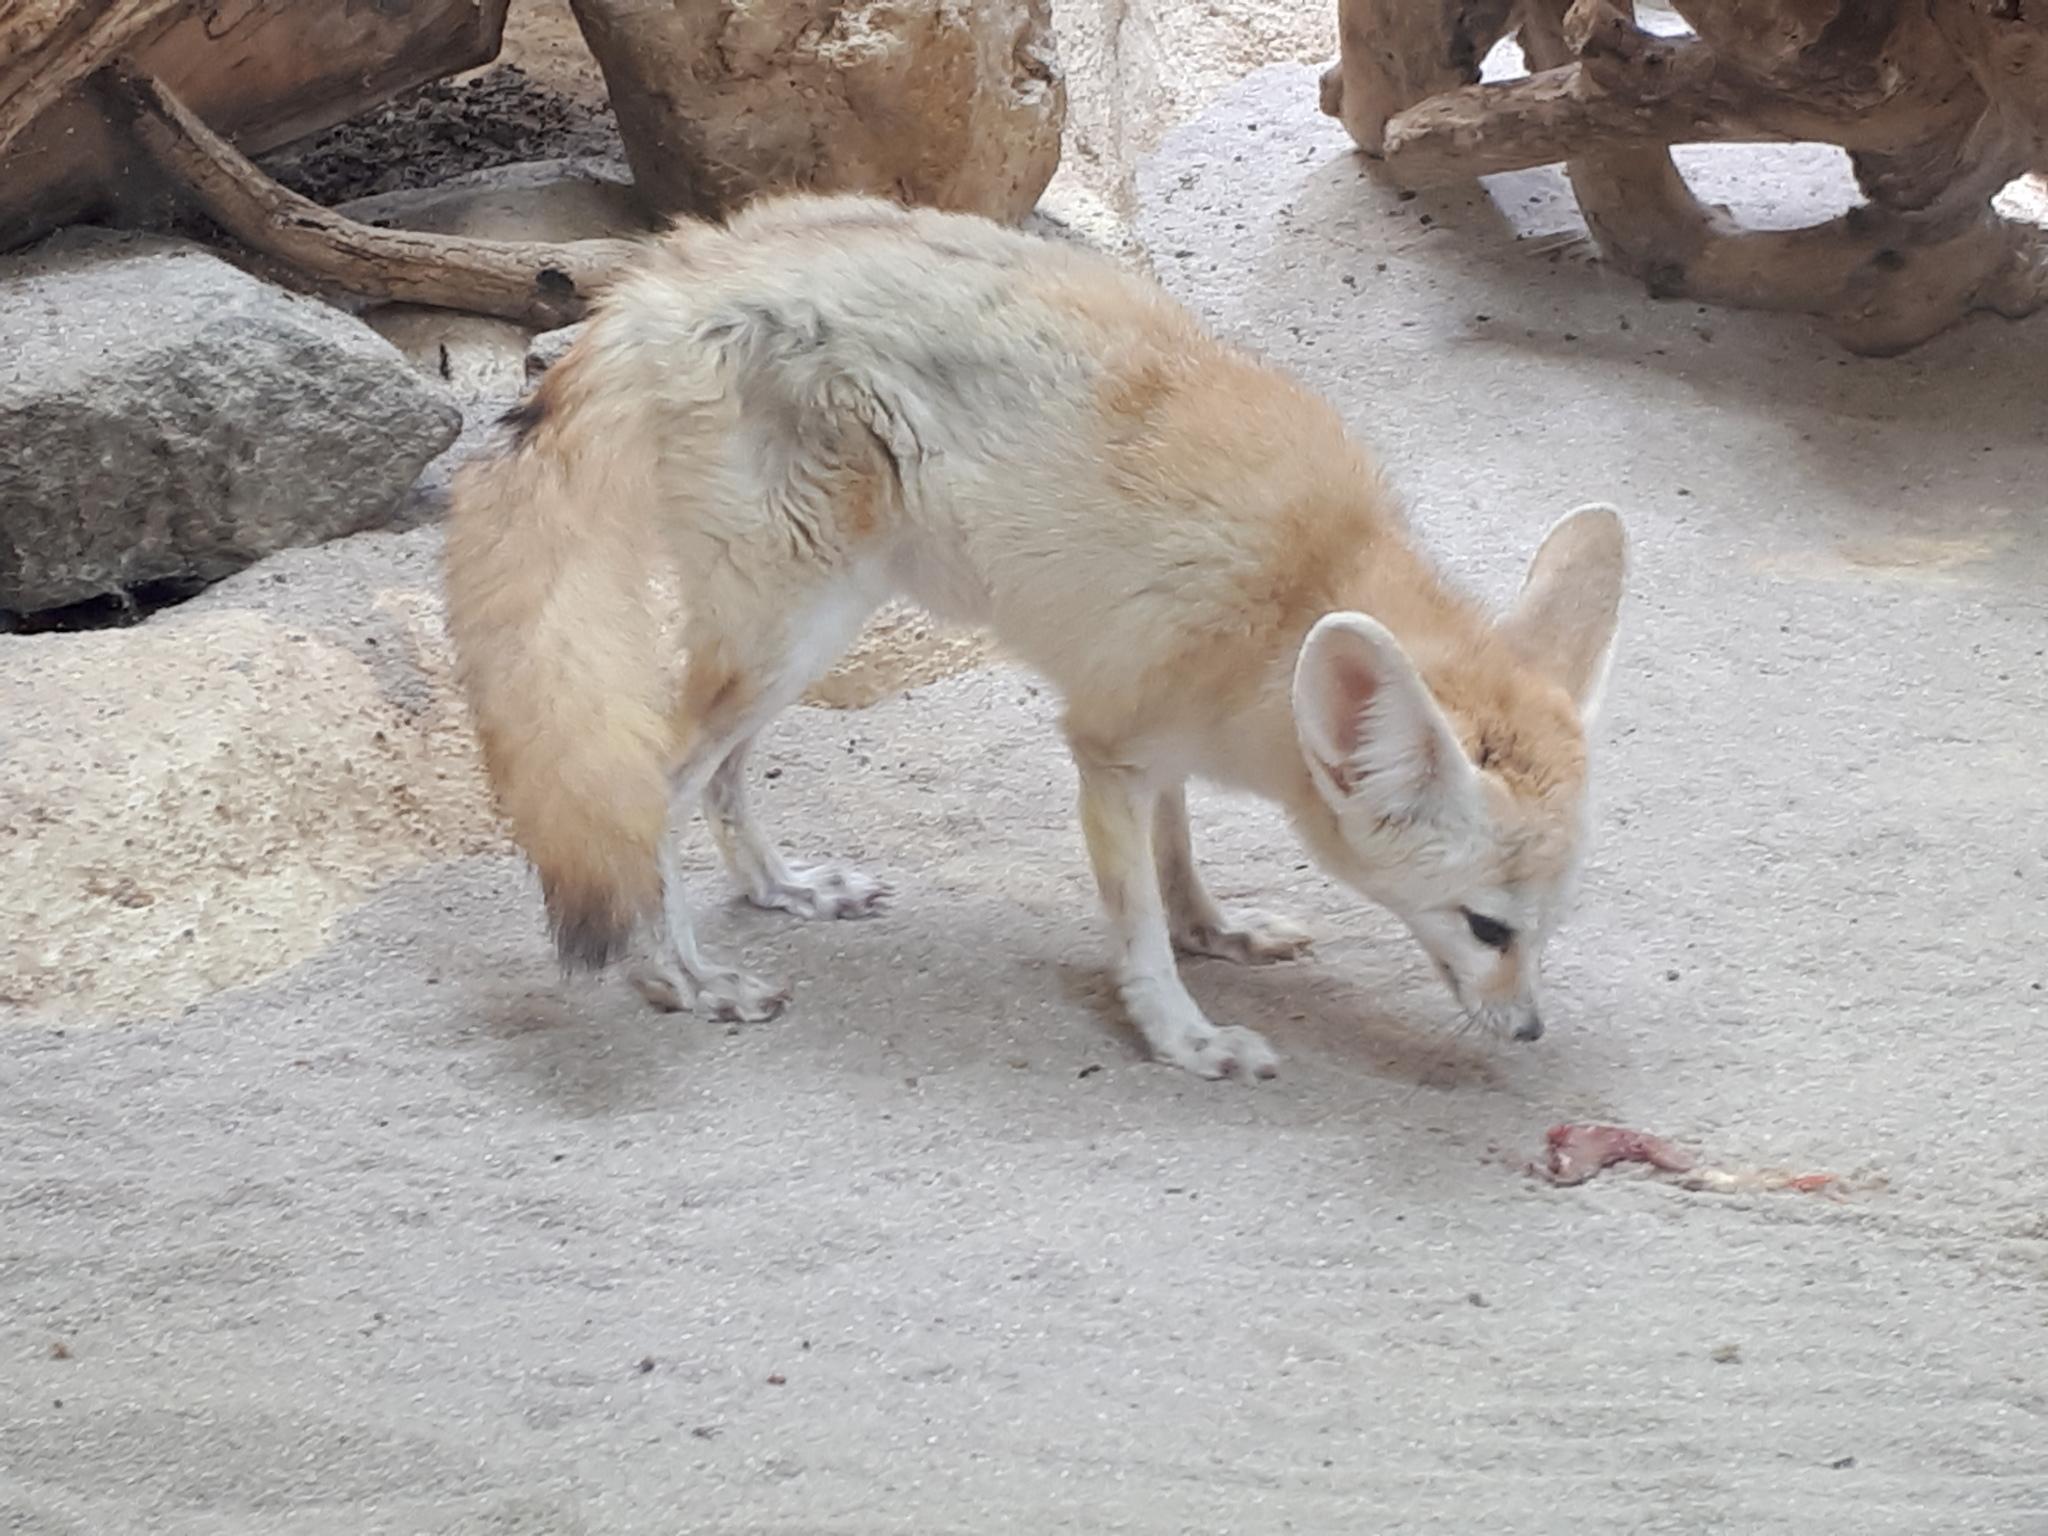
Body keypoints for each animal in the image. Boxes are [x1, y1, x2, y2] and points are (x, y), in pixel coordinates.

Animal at [441, 191, 1628, 1081]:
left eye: (1551, 922)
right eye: (1488, 928)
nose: (1529, 1032)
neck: (1297, 586)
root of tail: (668, 273)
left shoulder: (1155, 738)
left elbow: (1178, 858)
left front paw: (1217, 933)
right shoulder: (1105, 749)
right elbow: (1136, 924)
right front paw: (1182, 1034)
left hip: (800, 636)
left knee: (726, 780)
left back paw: (782, 892)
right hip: (791, 635)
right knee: (661, 794)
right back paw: (679, 978)